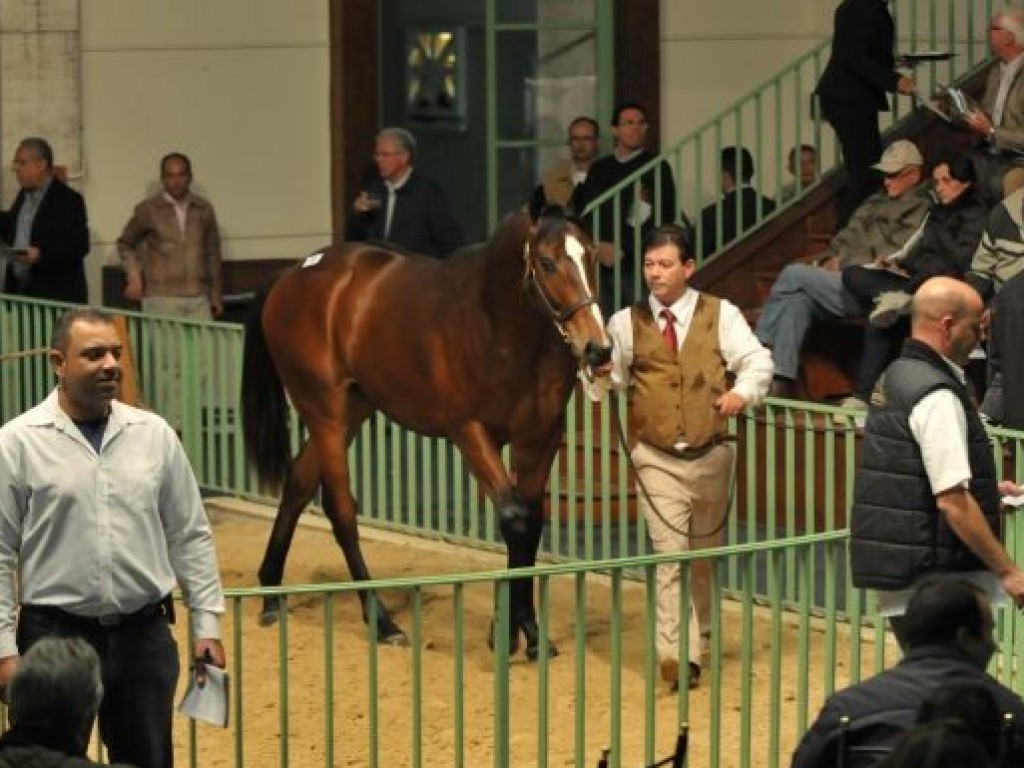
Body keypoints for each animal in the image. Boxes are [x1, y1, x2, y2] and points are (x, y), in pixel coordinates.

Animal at [241, 207, 606, 659]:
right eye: (547, 262)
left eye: (592, 255)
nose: (598, 348)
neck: (498, 325)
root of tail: (291, 274)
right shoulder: (470, 432)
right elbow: (514, 519)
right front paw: (507, 632)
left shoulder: (539, 439)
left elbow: (532, 526)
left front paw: (530, 634)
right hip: (324, 413)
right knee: (340, 510)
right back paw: (382, 622)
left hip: (351, 413)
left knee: (298, 484)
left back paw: (271, 594)